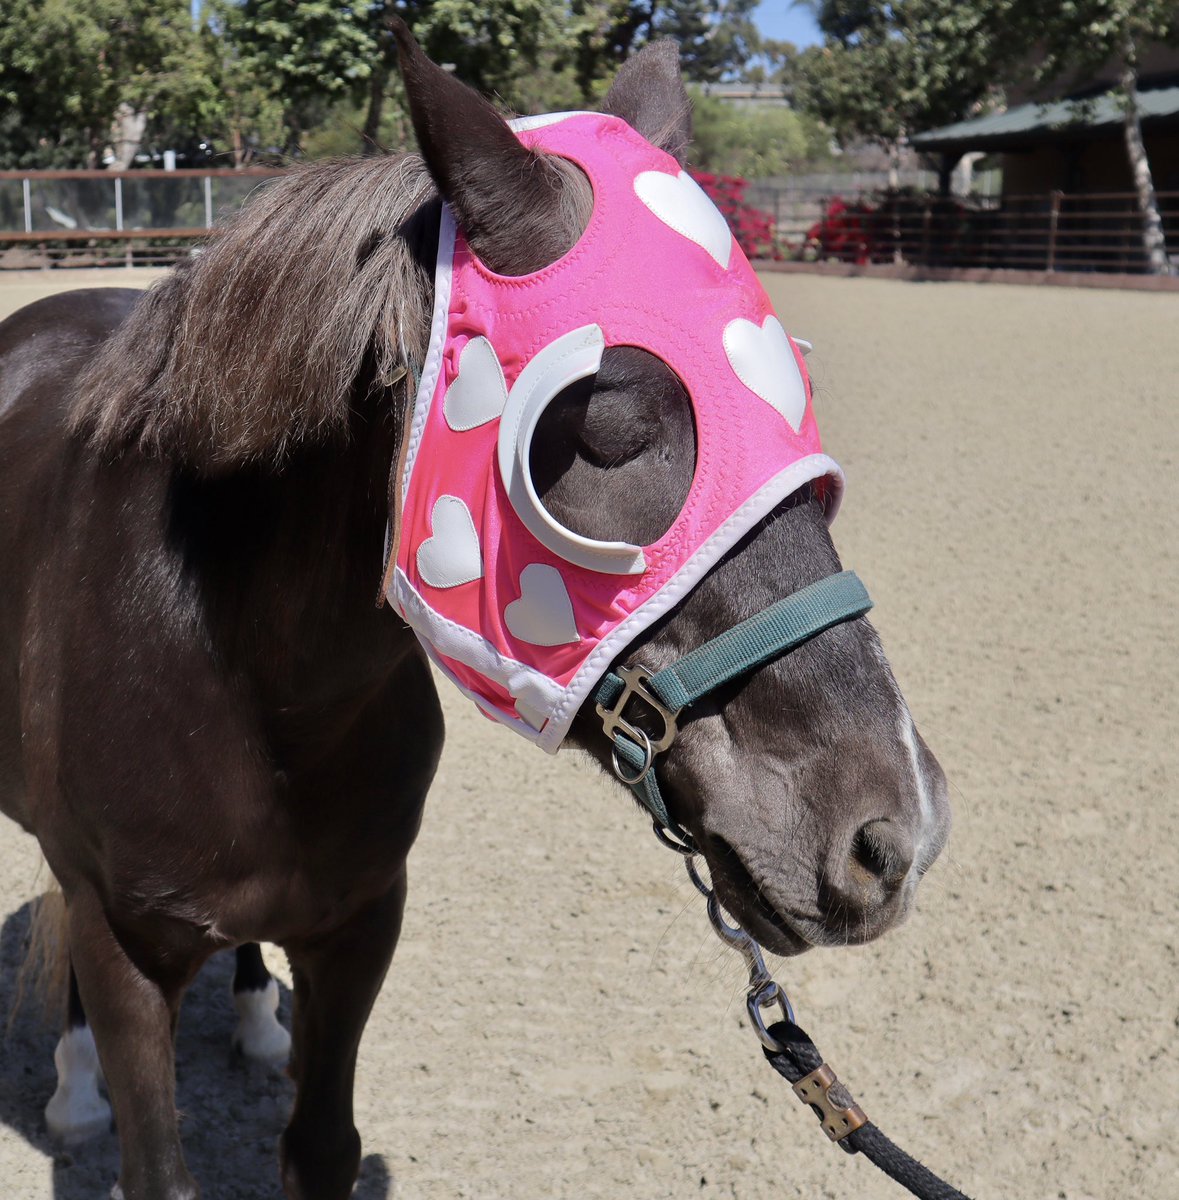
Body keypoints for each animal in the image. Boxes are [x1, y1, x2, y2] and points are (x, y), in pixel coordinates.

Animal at [0, 24, 950, 1200]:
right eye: (600, 426)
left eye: (797, 396)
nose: (896, 833)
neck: (243, 683)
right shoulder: (122, 941)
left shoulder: (361, 918)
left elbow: (323, 1145)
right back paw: (73, 1086)